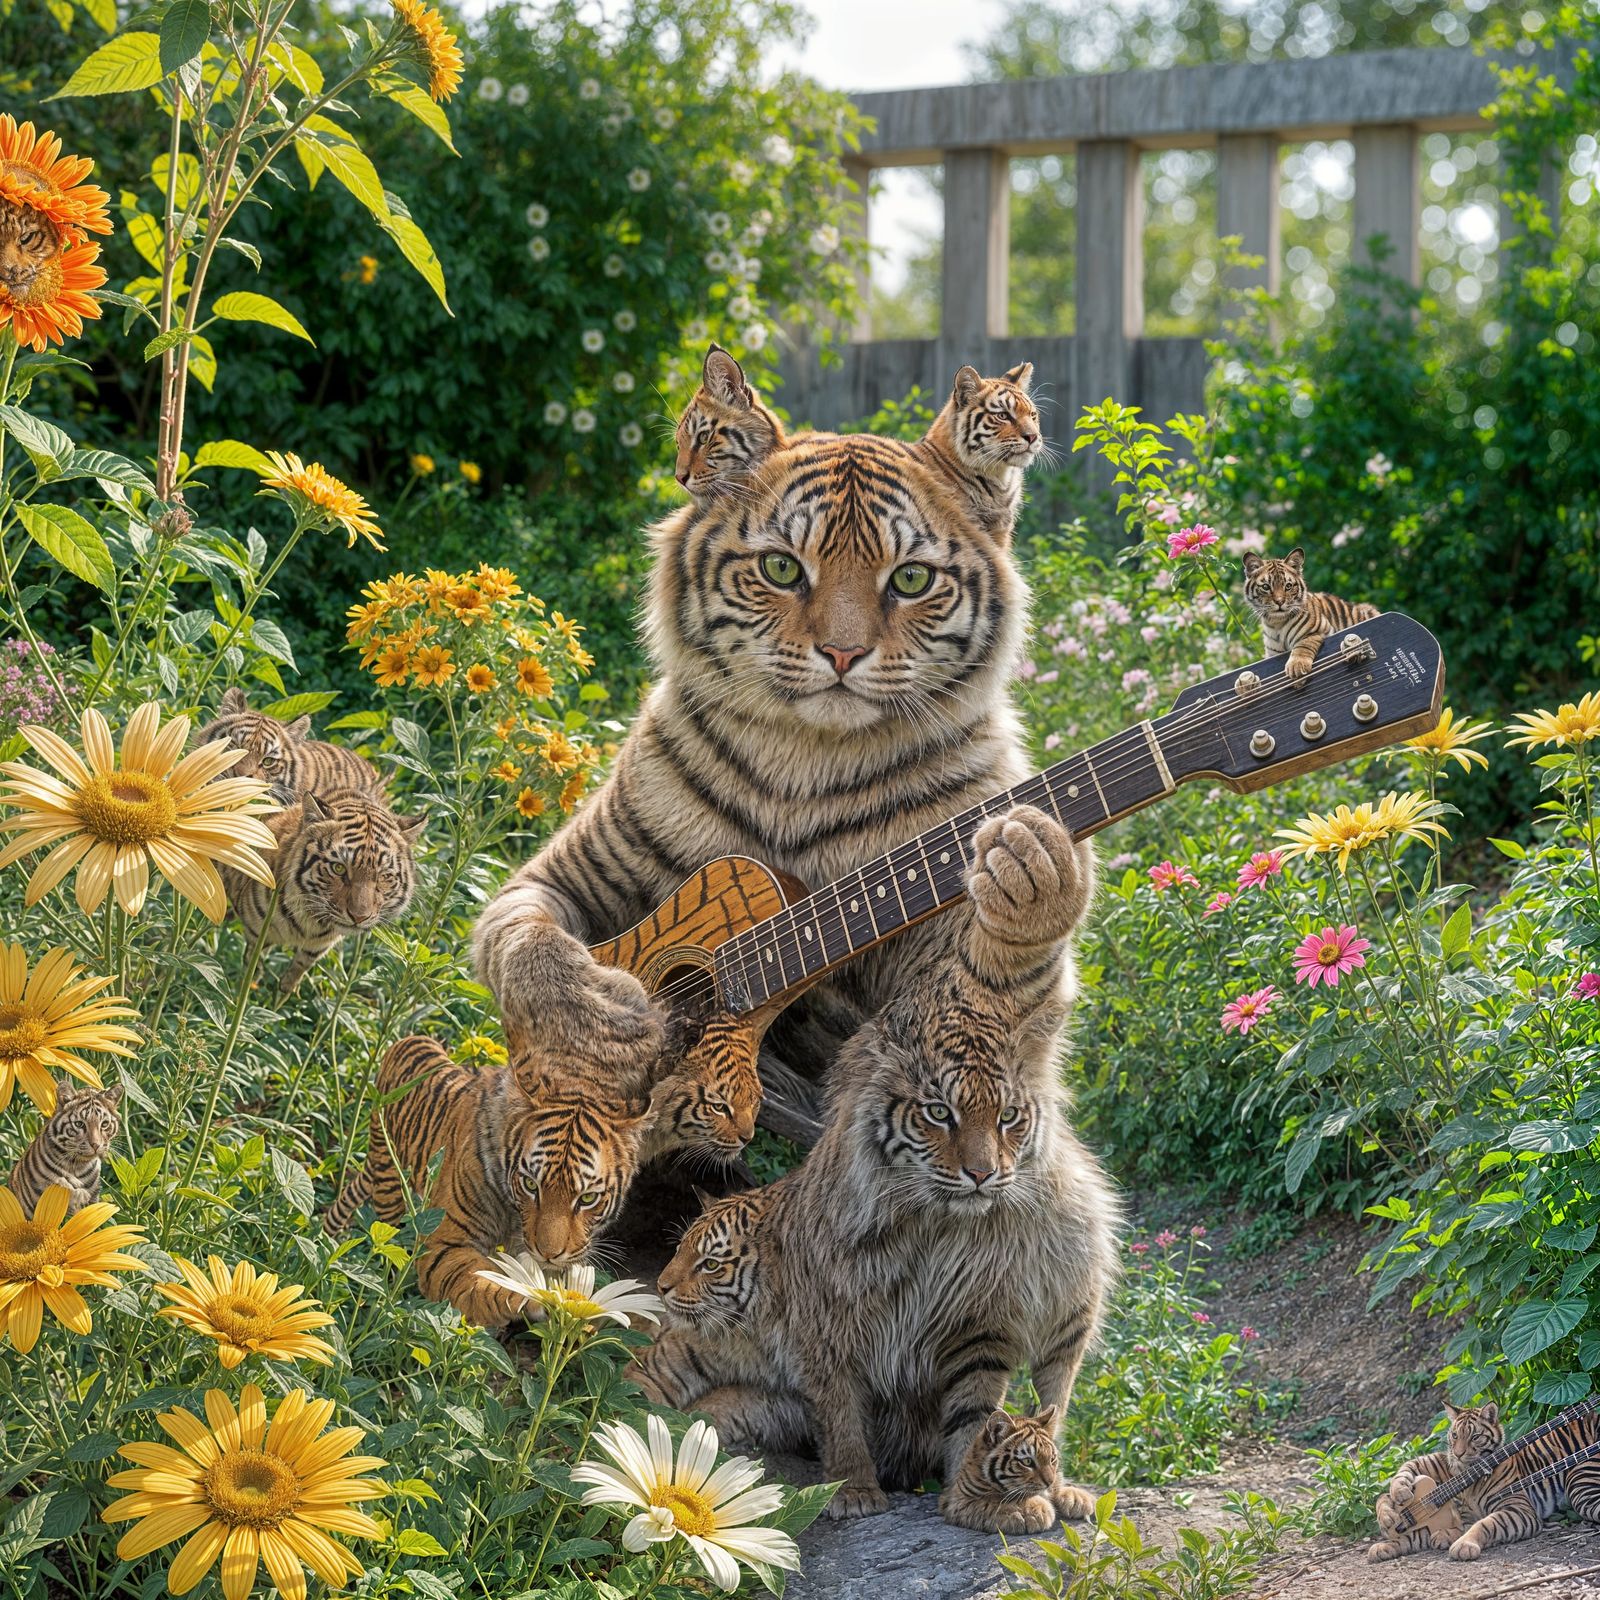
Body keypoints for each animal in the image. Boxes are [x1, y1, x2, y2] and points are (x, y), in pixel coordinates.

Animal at [219, 787, 424, 992]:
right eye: (339, 868)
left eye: (383, 876)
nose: (359, 917)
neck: (309, 921)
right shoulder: (257, 934)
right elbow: (250, 971)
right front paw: (243, 992)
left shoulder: (316, 948)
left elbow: (292, 978)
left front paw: (284, 989)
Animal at [322, 1035, 653, 1328]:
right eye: (530, 1185)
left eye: (587, 1199)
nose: (549, 1254)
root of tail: (408, 1040)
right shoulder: (444, 1244)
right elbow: (479, 1277)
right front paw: (525, 1298)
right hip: (389, 1183)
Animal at [472, 423, 1092, 1119]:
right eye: (781, 568)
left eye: (910, 579)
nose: (843, 653)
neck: (804, 753)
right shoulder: (563, 872)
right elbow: (524, 938)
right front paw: (586, 1023)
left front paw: (1037, 870)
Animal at [1241, 550, 1380, 680]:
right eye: (1266, 587)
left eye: (1288, 586)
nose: (1280, 602)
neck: (1277, 623)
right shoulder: (1272, 654)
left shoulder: (1320, 630)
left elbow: (1304, 644)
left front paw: (1297, 666)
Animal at [1369, 1401, 1600, 1563]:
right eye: (1455, 1435)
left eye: (1475, 1437)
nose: (1458, 1454)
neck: (1468, 1479)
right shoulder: (1437, 1468)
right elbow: (1406, 1474)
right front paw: (1389, 1529)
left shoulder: (1518, 1510)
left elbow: (1487, 1523)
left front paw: (1463, 1544)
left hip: (1580, 1485)